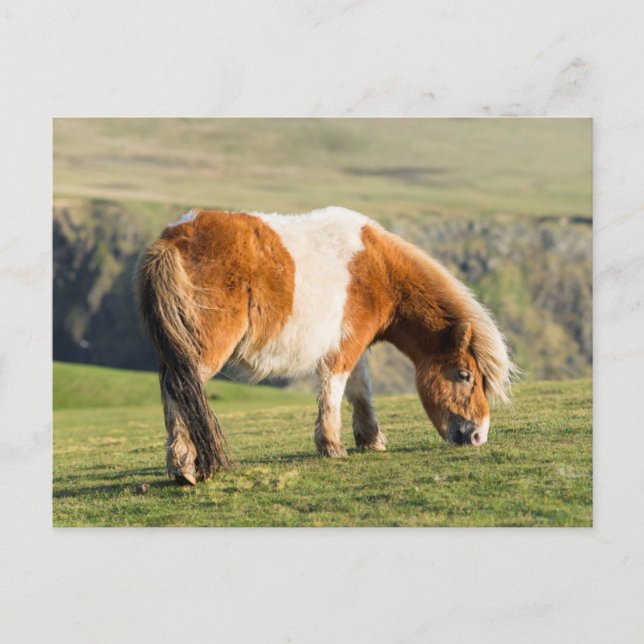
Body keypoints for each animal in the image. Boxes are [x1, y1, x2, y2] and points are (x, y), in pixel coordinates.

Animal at [135, 206, 514, 485]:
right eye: (464, 375)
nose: (478, 435)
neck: (378, 269)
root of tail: (172, 239)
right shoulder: (345, 347)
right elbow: (334, 389)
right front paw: (332, 446)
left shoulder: (356, 346)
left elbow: (361, 391)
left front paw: (371, 440)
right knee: (181, 390)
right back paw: (184, 467)